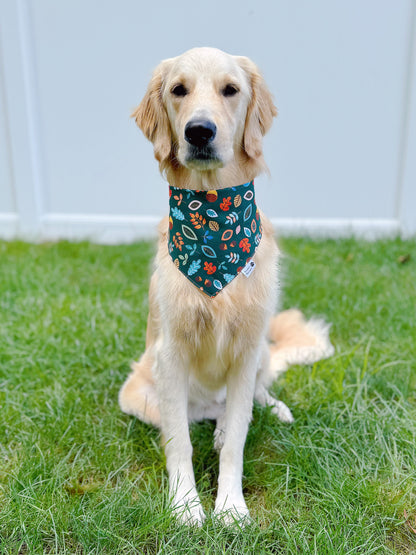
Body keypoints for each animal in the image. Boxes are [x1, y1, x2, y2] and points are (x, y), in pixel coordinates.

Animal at [118, 46, 334, 524]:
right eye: (179, 90)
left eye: (230, 89)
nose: (199, 131)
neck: (212, 218)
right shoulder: (171, 355)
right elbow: (178, 442)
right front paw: (185, 505)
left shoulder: (247, 349)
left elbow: (237, 437)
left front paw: (231, 507)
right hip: (137, 389)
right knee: (183, 420)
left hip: (261, 353)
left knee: (252, 398)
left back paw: (269, 410)